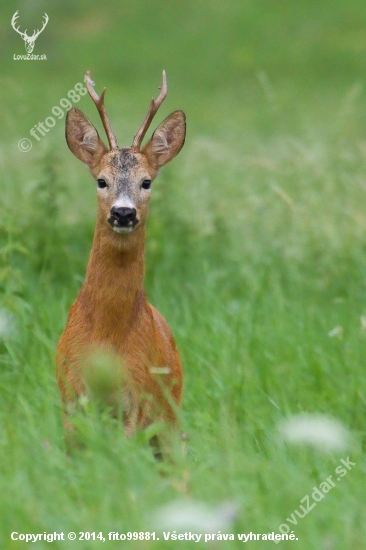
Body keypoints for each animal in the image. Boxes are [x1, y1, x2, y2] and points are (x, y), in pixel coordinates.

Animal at [56, 72, 186, 440]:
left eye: (147, 182)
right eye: (101, 180)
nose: (124, 213)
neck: (107, 336)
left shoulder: (136, 398)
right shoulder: (70, 393)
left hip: (170, 416)